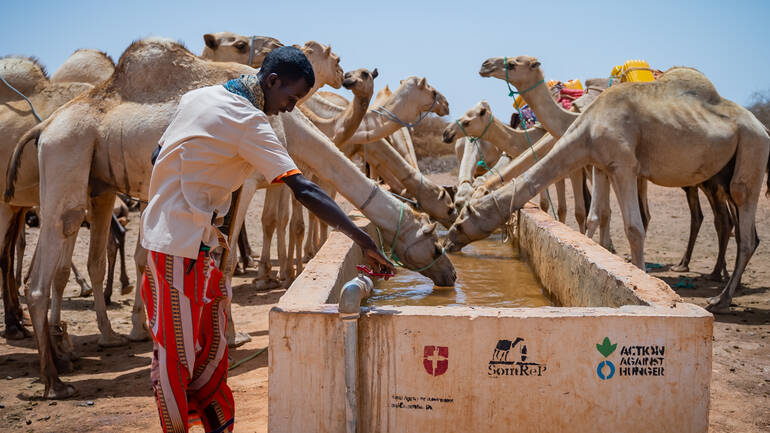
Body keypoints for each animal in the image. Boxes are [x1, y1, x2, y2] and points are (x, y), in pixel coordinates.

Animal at [444, 65, 768, 314]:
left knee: (744, 228)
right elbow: (594, 215)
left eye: (461, 219)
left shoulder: (621, 164)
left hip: (750, 151)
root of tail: (762, 127)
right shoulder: (599, 164)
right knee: (735, 226)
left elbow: (630, 226)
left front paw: (638, 277)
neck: (585, 125)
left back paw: (720, 297)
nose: (448, 241)